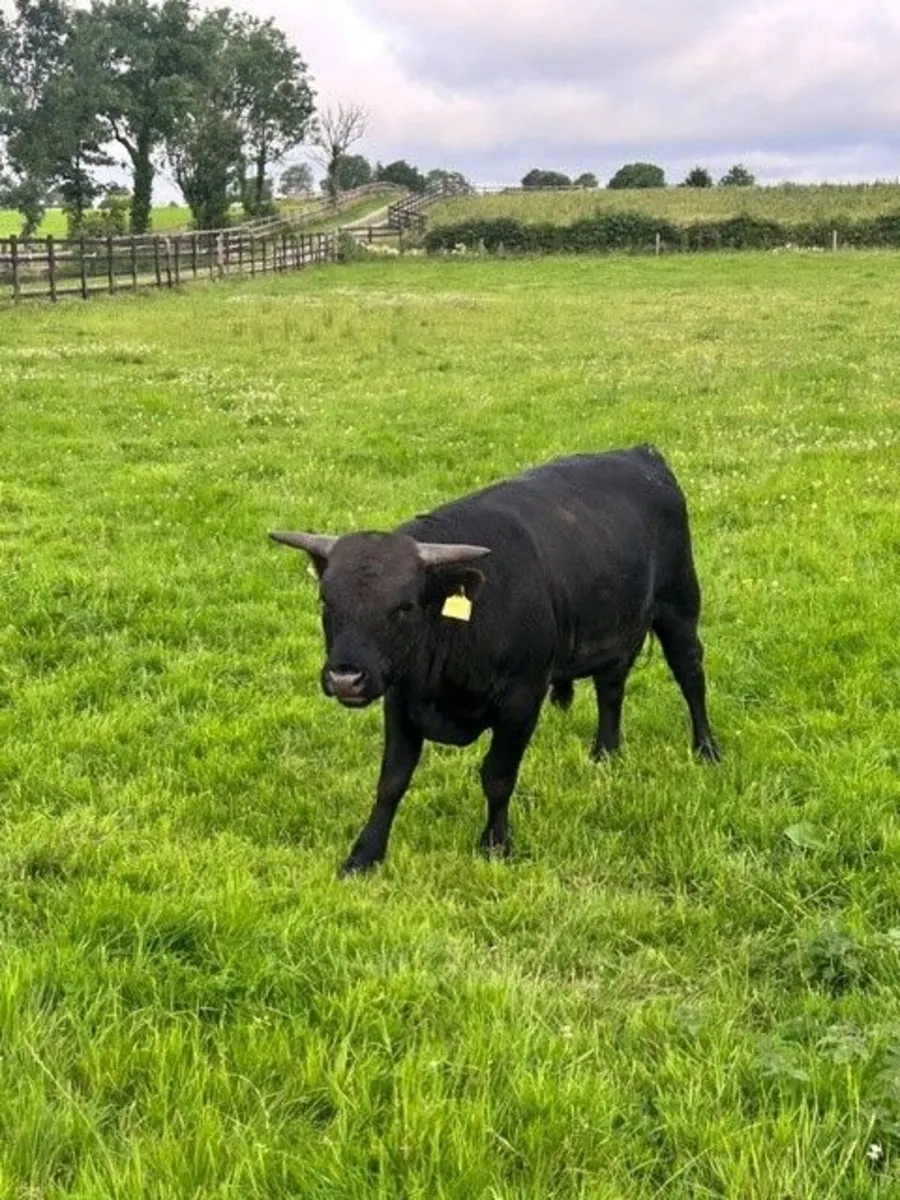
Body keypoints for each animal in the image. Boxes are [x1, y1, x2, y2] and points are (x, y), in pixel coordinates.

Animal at [271, 445, 719, 875]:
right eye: (326, 601)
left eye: (404, 607)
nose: (345, 678)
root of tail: (641, 454)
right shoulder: (400, 697)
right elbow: (392, 781)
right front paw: (365, 855)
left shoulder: (522, 699)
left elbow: (498, 776)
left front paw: (496, 844)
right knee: (611, 687)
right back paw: (605, 753)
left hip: (679, 607)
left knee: (691, 675)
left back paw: (706, 750)